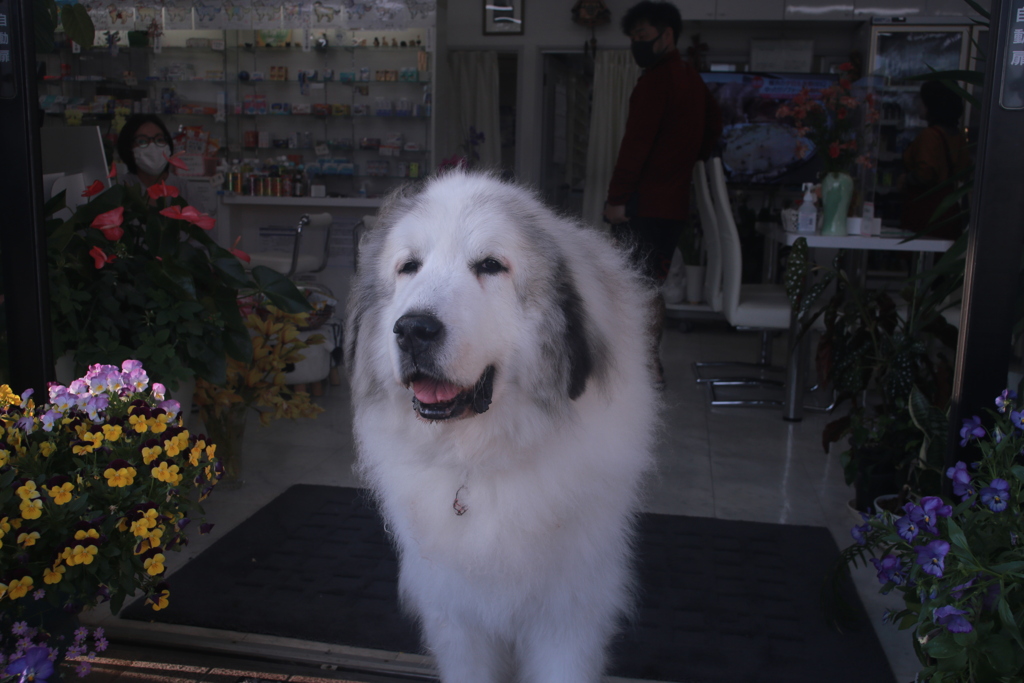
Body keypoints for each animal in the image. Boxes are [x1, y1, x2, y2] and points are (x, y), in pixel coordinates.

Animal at [346, 172, 655, 683]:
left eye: (490, 265)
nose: (413, 329)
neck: (478, 462)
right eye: (409, 266)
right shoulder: (456, 618)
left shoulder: (567, 616)